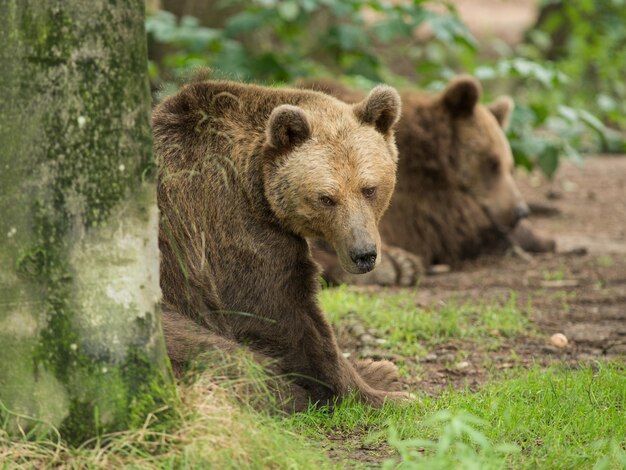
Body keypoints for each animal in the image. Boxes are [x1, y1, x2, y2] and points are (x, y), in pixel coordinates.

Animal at [152, 81, 408, 412]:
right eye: (326, 198)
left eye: (369, 189)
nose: (363, 254)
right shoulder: (230, 226)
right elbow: (284, 313)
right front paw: (383, 396)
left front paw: (380, 371)